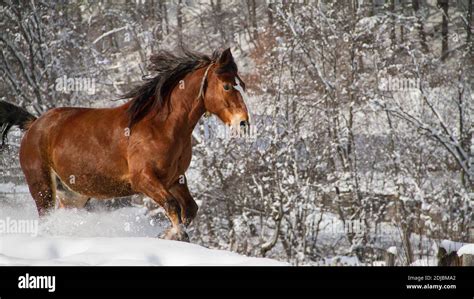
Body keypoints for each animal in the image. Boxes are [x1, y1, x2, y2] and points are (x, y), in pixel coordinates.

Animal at [0, 48, 250, 243]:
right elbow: (172, 206)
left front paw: (167, 234)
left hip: (73, 195)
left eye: (241, 84)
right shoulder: (143, 179)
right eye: (227, 86)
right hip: (42, 187)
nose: (243, 123)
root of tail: (34, 124)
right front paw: (174, 235)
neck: (161, 126)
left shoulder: (174, 178)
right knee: (46, 219)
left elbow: (189, 209)